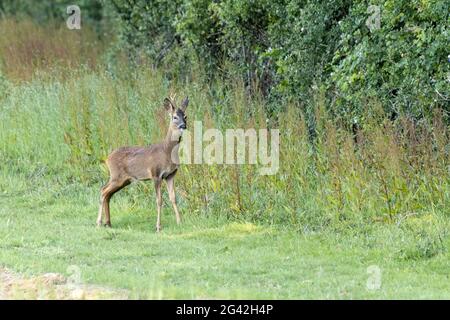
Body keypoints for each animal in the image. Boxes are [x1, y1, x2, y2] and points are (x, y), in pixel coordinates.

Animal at [97, 94, 189, 231]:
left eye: (185, 116)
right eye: (174, 117)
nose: (183, 126)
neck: (166, 151)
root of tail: (107, 158)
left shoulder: (170, 175)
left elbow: (173, 198)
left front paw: (179, 222)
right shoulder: (156, 174)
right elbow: (159, 200)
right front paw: (158, 227)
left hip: (124, 180)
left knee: (108, 194)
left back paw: (108, 222)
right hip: (116, 176)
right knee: (103, 190)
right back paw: (99, 222)